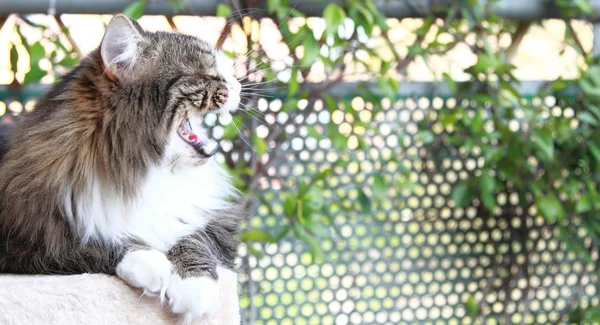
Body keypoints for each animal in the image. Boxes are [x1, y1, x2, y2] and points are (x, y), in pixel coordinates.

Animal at [0, 13, 246, 320]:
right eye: (206, 75)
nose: (238, 84)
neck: (140, 176)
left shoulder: (216, 219)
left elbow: (193, 236)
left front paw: (193, 288)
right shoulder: (28, 239)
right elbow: (89, 246)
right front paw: (150, 263)